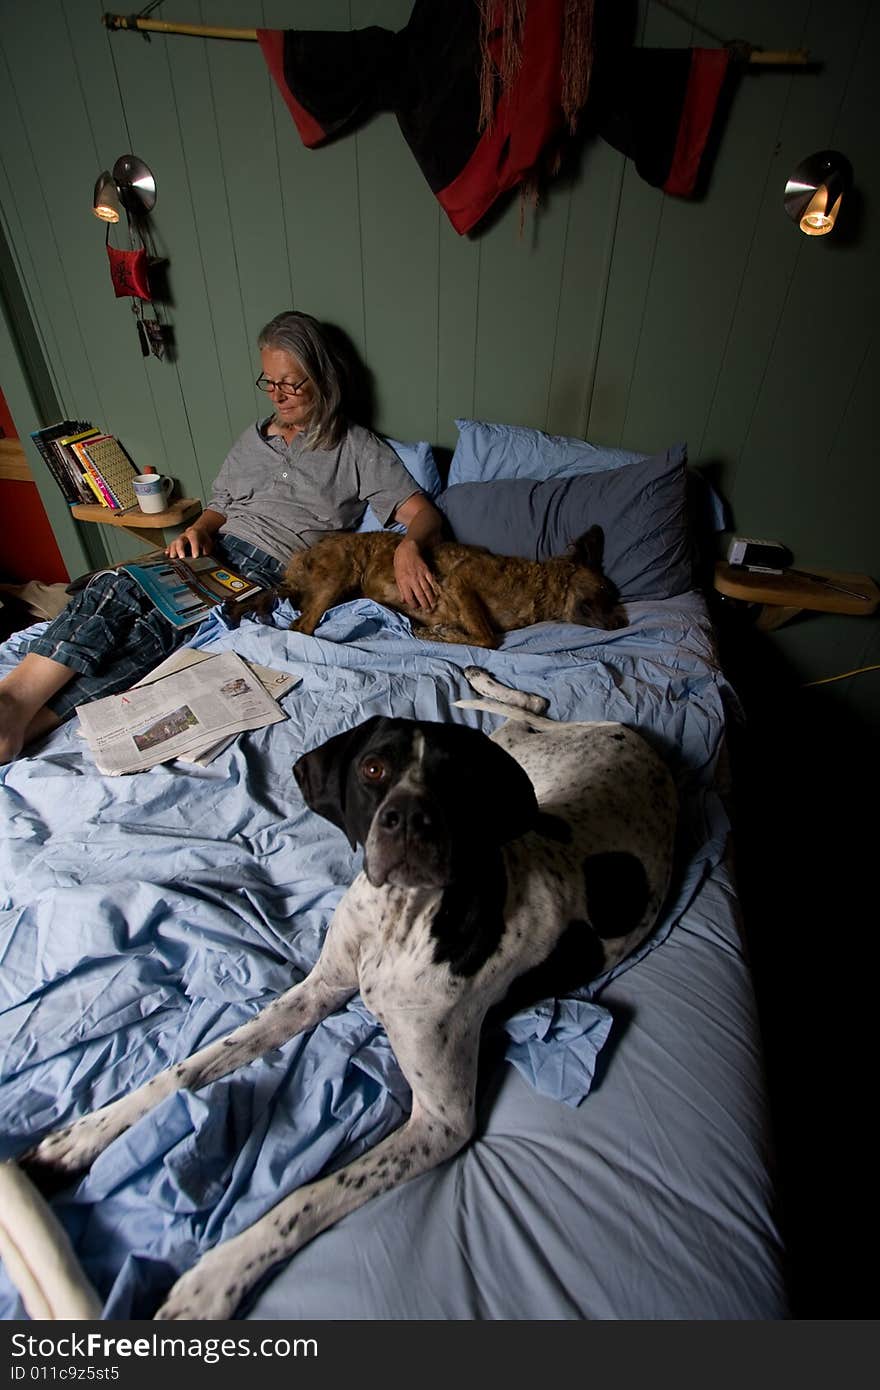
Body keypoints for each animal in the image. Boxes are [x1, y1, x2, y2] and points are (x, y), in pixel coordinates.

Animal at [271, 522, 620, 647]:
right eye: (605, 591)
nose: (618, 624)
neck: (537, 589)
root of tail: (303, 554)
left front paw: (438, 631)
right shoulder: (460, 582)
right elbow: (487, 638)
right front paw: (442, 633)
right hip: (339, 574)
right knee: (301, 626)